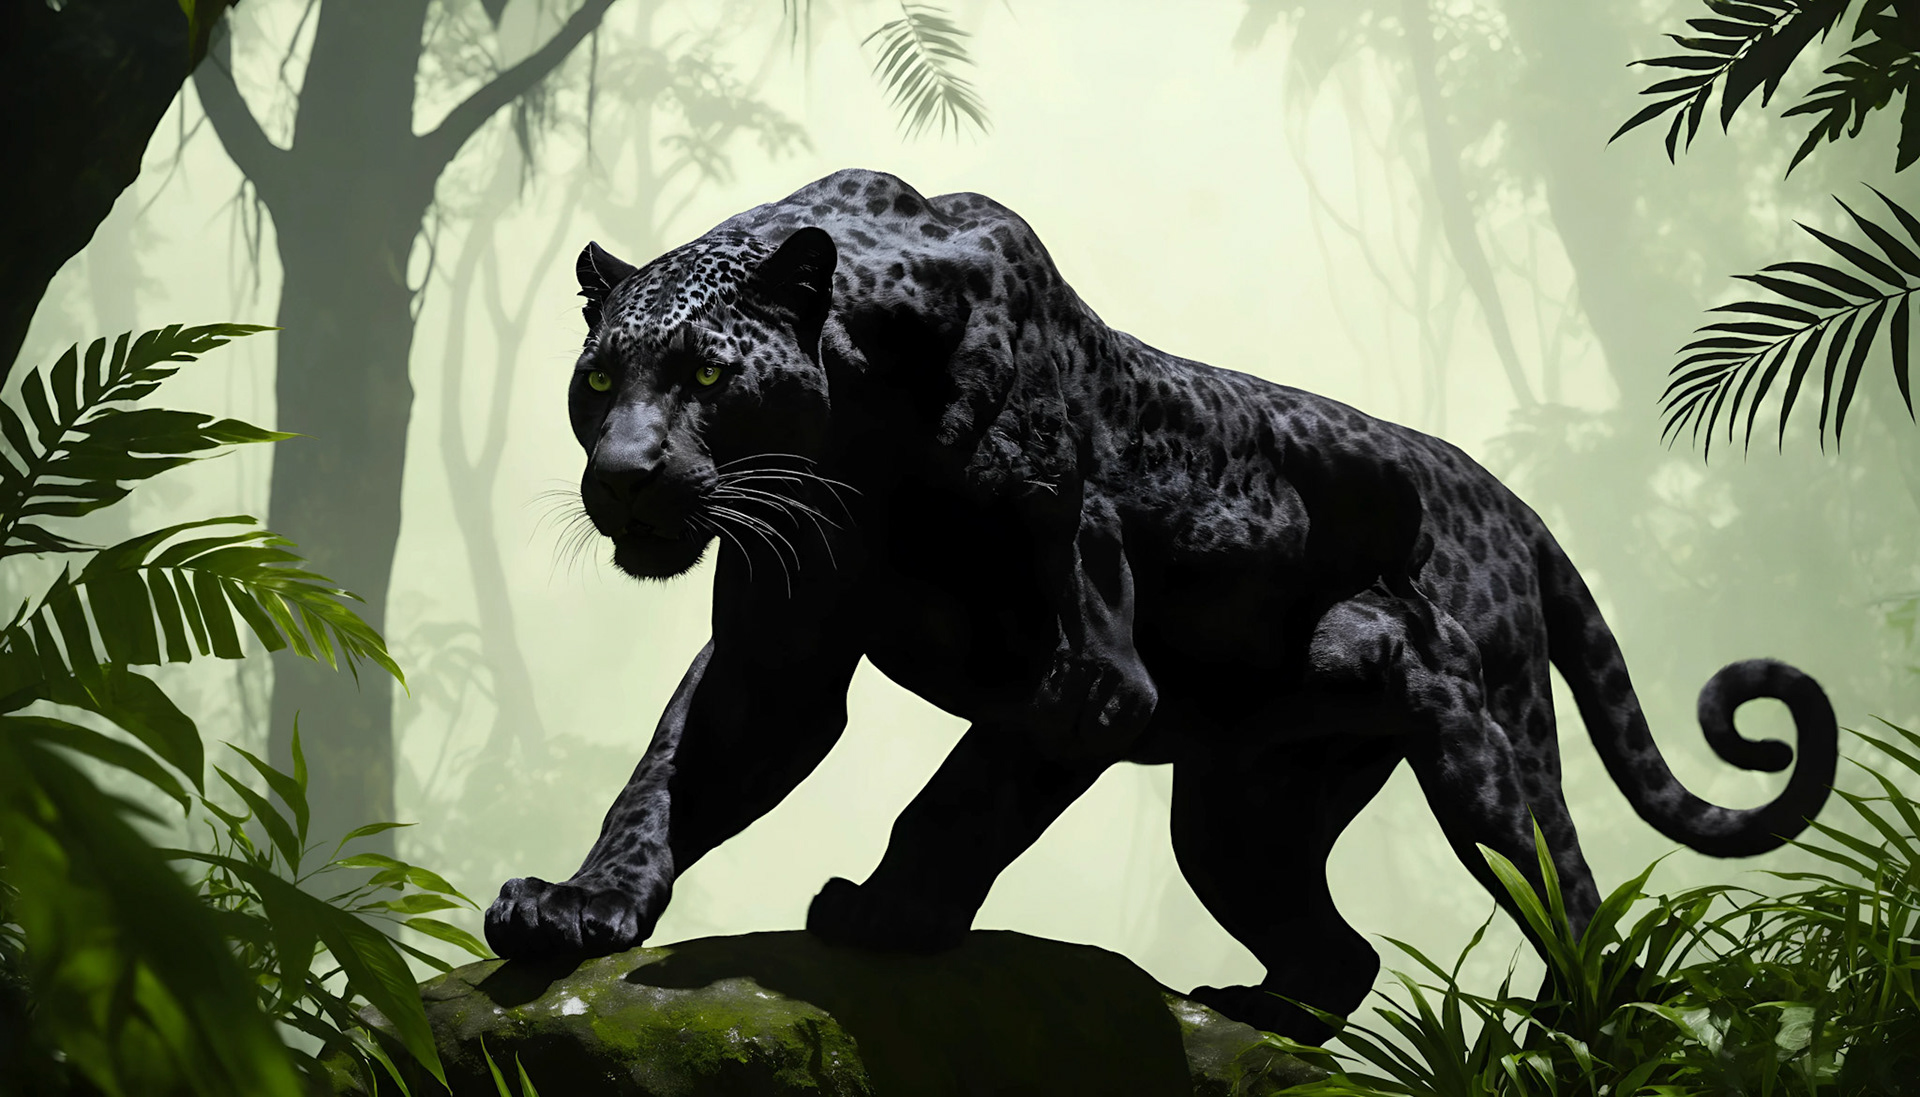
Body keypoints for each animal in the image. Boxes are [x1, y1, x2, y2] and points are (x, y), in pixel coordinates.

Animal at [485, 168, 1838, 1041]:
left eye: (708, 374)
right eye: (597, 378)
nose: (624, 475)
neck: (856, 427)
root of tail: (1509, 499)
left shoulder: (1093, 673)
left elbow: (964, 789)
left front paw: (882, 914)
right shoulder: (776, 660)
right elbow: (667, 780)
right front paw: (575, 907)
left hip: (1485, 761)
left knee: (1571, 892)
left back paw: (1571, 1032)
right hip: (1239, 809)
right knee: (1337, 943)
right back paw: (1256, 1008)